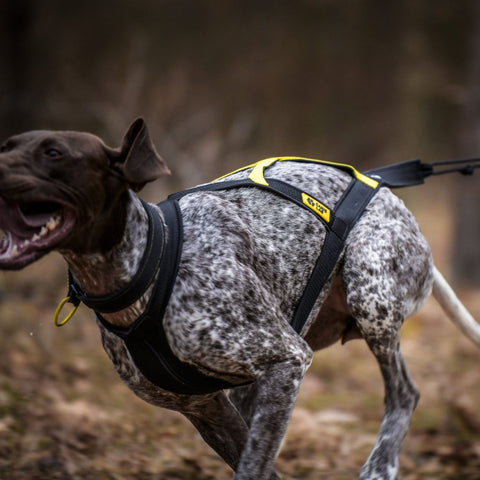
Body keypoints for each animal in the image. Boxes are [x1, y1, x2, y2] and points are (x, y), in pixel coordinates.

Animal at [0, 117, 480, 480]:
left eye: (54, 153)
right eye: (8, 144)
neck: (149, 263)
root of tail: (387, 192)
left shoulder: (287, 359)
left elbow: (254, 468)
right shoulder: (208, 409)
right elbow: (259, 467)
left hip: (370, 292)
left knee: (404, 393)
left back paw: (380, 466)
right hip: (261, 382)